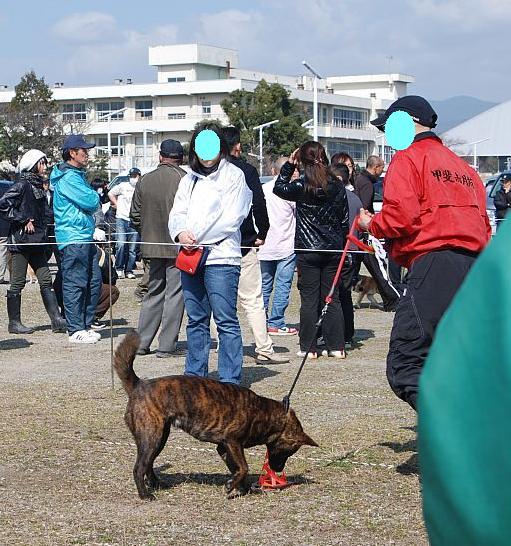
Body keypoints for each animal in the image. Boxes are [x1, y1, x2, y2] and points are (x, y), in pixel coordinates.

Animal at [114, 330, 318, 500]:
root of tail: (139, 385)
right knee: (139, 468)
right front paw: (232, 487)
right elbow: (244, 467)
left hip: (159, 438)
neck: (264, 412)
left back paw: (157, 484)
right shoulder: (232, 443)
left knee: (148, 464)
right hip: (151, 437)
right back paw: (145, 494)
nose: (277, 469)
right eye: (289, 452)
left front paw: (242, 489)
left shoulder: (224, 448)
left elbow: (238, 470)